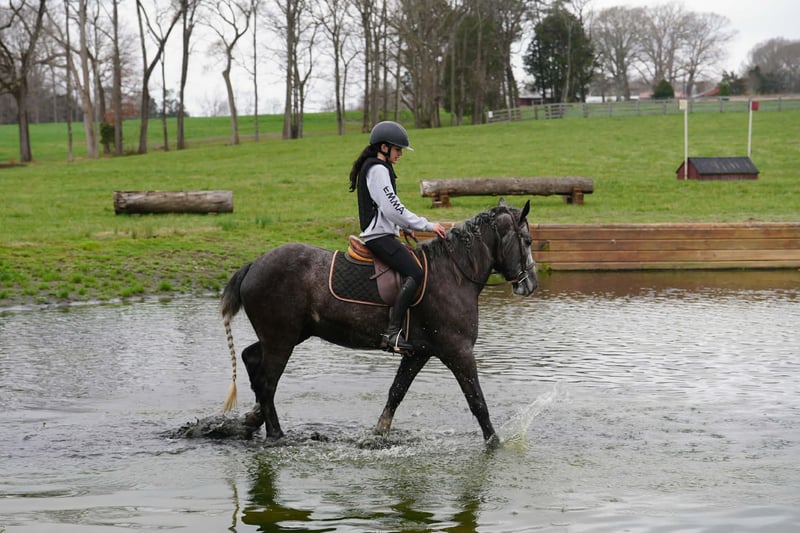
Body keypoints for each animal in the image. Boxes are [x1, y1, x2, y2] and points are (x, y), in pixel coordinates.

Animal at [219, 199, 538, 446]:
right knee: (268, 382)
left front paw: (378, 434)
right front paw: (495, 443)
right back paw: (274, 433)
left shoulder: (419, 353)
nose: (531, 284)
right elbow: (477, 401)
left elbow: (396, 393)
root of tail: (254, 265)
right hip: (281, 340)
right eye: (528, 241)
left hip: (289, 335)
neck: (454, 273)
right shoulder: (458, 352)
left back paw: (253, 418)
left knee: (251, 359)